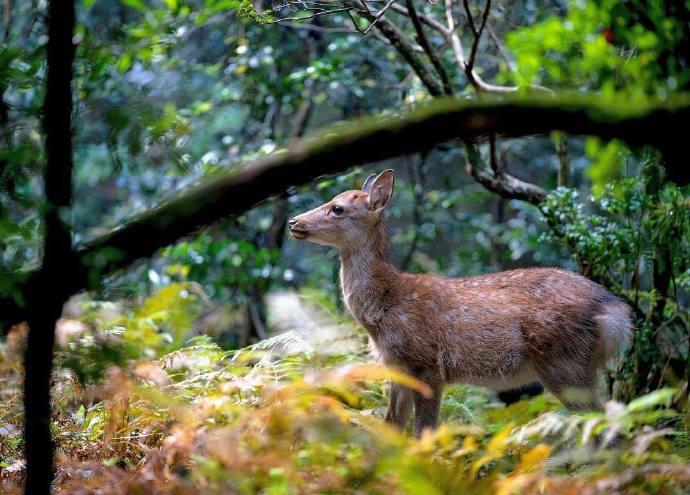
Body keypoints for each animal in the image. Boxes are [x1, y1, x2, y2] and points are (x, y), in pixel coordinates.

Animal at [284, 170, 628, 438]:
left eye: (337, 208)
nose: (293, 222)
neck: (382, 310)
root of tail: (616, 312)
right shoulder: (397, 367)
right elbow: (391, 427)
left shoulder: (427, 364)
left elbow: (423, 432)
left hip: (565, 361)